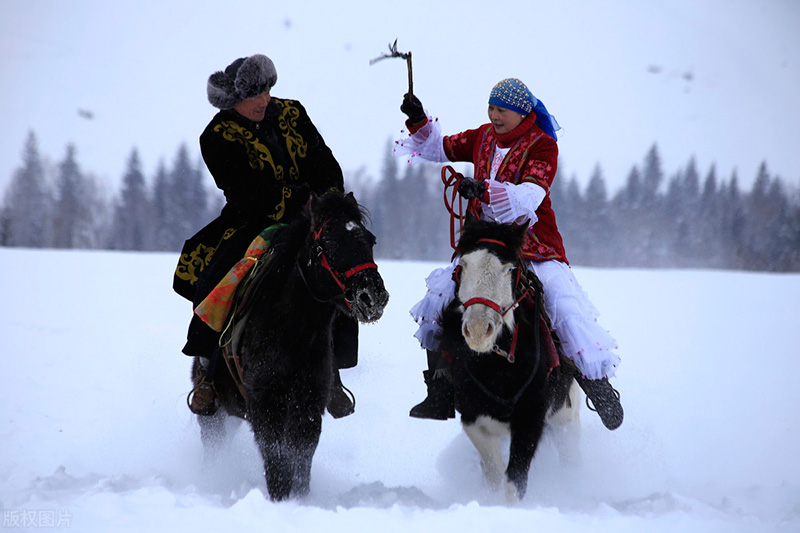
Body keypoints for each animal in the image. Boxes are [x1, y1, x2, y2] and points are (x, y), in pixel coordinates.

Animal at [195, 191, 392, 498]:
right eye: (328, 243)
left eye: (370, 240)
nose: (372, 295)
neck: (292, 331)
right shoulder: (266, 403)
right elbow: (277, 459)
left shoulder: (308, 404)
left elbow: (300, 458)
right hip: (212, 413)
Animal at [438, 218, 580, 500]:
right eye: (462, 265)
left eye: (509, 268)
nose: (478, 330)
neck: (497, 366)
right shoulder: (473, 417)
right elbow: (494, 471)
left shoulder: (531, 416)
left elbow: (515, 479)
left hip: (566, 415)